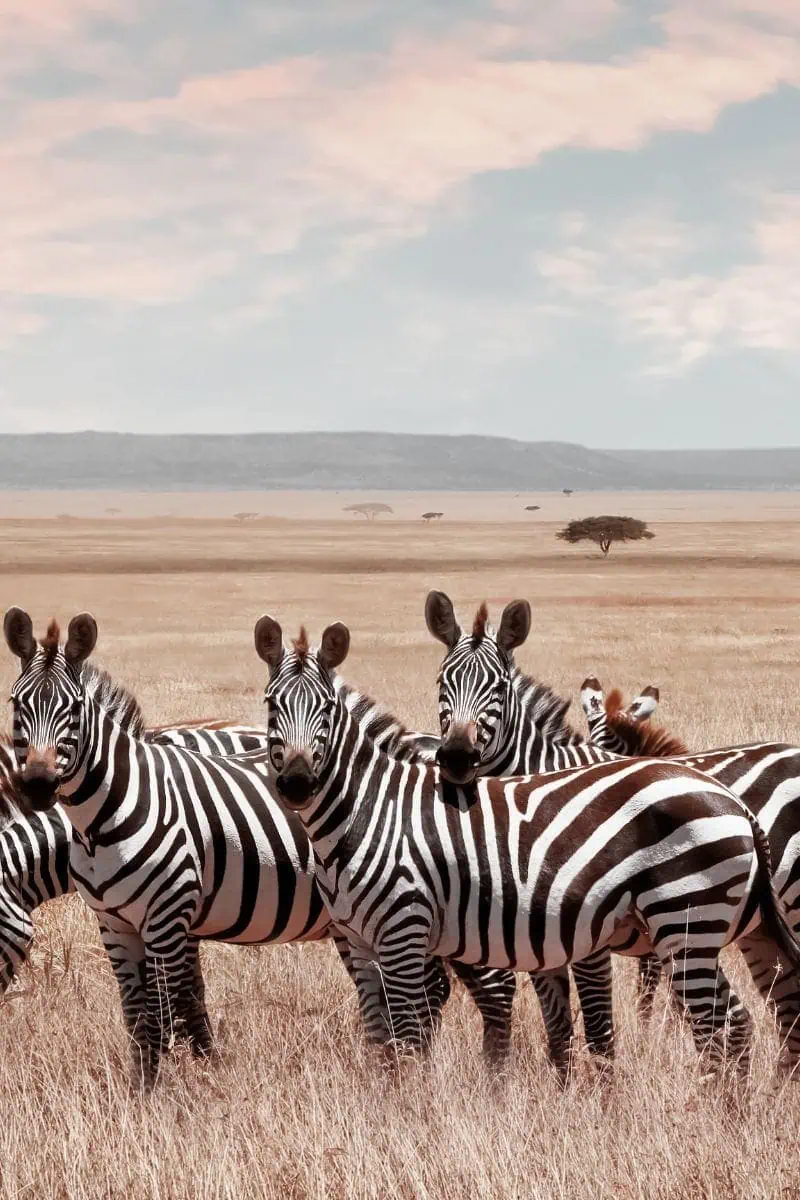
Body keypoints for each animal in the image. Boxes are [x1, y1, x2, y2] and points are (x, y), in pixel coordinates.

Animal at [253, 612, 800, 1079]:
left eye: (326, 709)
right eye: (271, 704)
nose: (296, 785)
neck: (371, 806)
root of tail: (735, 802)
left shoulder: (407, 931)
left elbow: (410, 1042)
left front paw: (412, 1113)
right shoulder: (364, 941)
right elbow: (385, 1039)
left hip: (689, 919)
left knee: (720, 1024)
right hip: (726, 929)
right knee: (752, 1018)